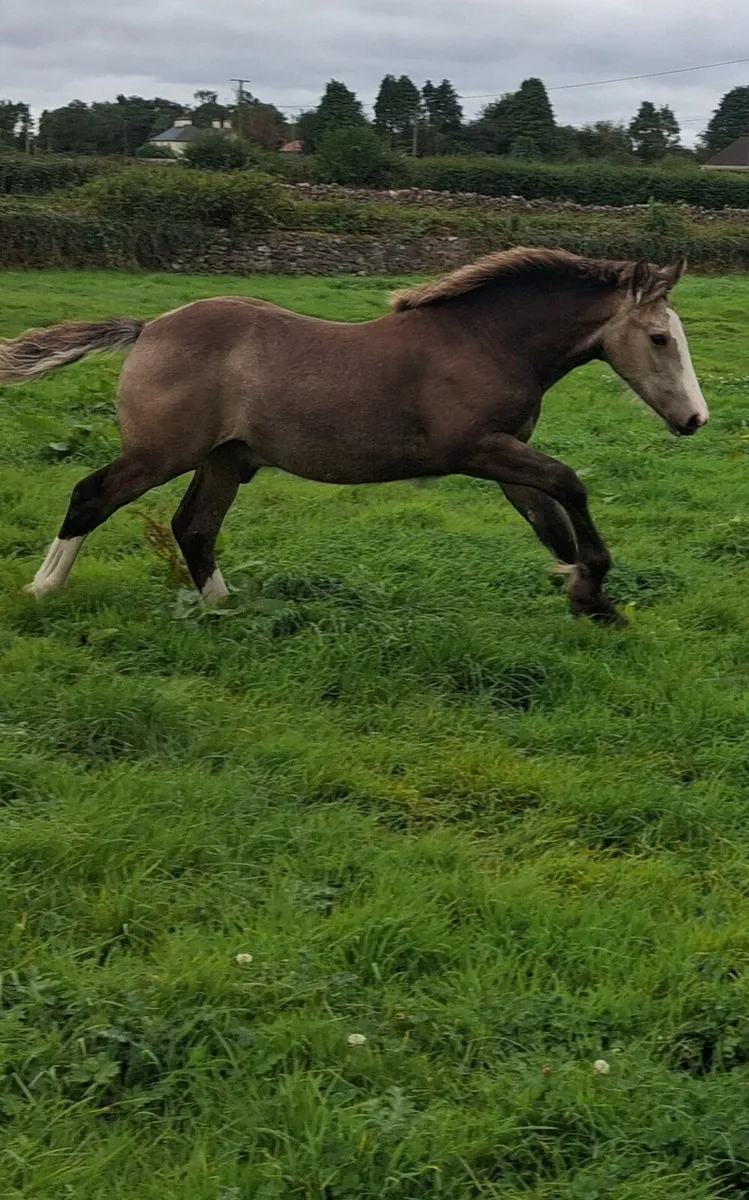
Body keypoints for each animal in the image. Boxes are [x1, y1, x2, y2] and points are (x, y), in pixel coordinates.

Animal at [0, 247, 708, 626]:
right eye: (659, 338)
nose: (695, 420)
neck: (485, 341)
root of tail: (148, 329)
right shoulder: (476, 449)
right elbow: (569, 485)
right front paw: (591, 589)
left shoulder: (506, 455)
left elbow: (551, 524)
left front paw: (590, 600)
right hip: (160, 453)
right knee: (91, 496)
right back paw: (43, 588)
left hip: (225, 459)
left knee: (193, 528)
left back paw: (229, 609)